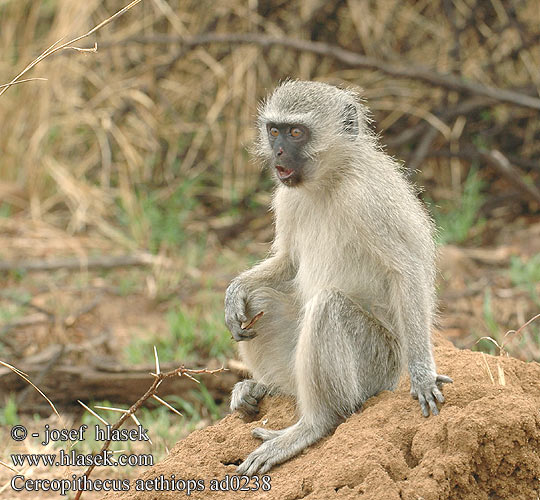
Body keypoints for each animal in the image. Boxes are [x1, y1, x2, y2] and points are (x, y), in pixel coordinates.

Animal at [224, 80, 452, 474]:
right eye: (274, 130)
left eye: (296, 132)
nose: (278, 151)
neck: (329, 180)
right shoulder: (286, 196)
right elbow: (288, 263)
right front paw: (235, 290)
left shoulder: (365, 199)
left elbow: (406, 270)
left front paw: (423, 375)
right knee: (261, 300)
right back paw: (265, 388)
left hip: (376, 366)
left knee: (328, 307)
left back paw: (313, 424)